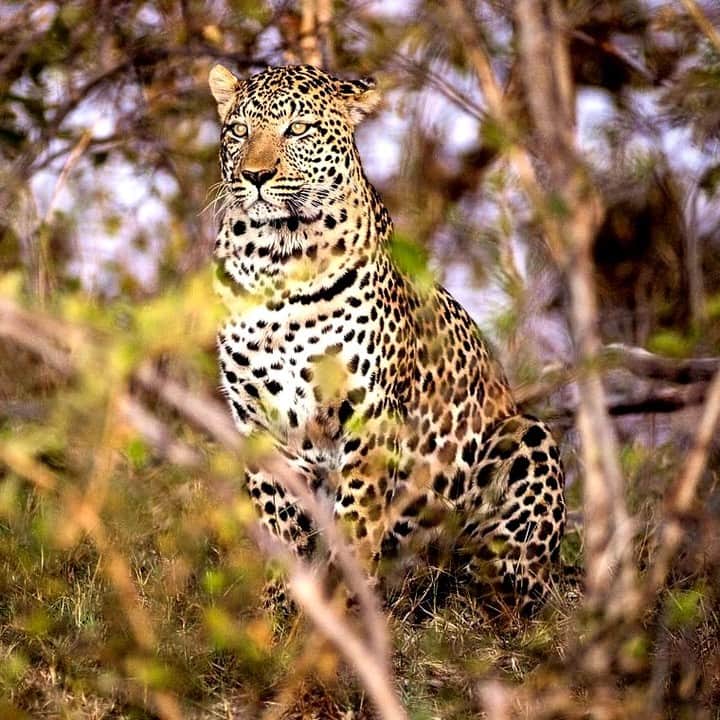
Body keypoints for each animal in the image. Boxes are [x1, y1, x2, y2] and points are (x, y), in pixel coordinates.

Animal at [209, 62, 565, 616]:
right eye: (239, 131)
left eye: (298, 129)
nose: (256, 176)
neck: (278, 259)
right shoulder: (262, 425)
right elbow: (279, 528)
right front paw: (277, 614)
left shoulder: (370, 415)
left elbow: (355, 524)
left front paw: (337, 614)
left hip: (526, 439)